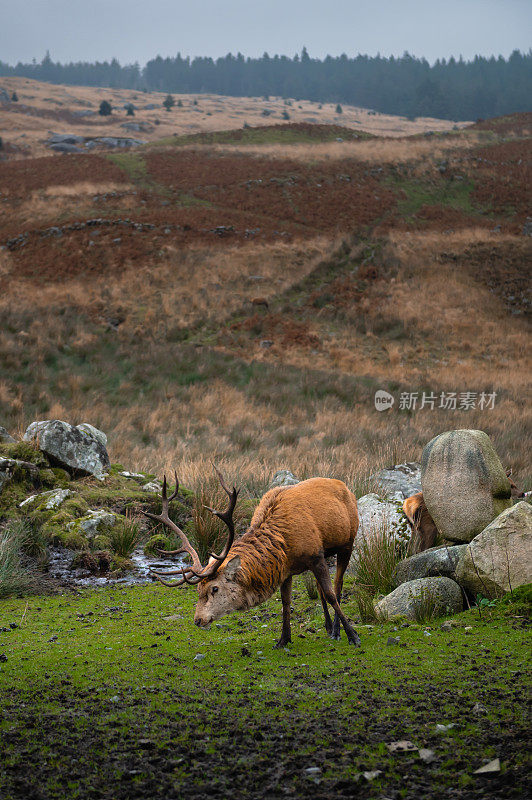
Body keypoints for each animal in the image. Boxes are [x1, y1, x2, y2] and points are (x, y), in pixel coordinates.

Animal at [145, 468, 362, 648]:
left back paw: (336, 631)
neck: (283, 543)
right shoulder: (287, 569)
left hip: (347, 544)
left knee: (337, 586)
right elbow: (286, 602)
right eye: (198, 589)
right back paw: (328, 627)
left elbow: (331, 594)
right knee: (319, 587)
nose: (198, 620)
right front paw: (283, 640)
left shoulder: (315, 555)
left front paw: (352, 635)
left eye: (214, 588)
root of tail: (345, 487)